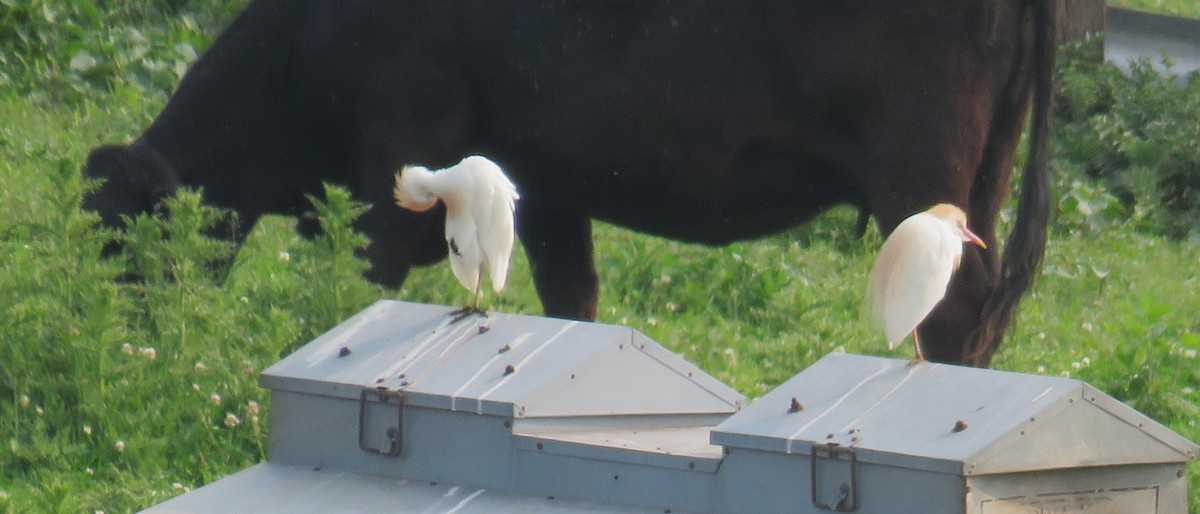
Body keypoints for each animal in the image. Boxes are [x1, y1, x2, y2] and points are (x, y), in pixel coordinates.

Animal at [82, 0, 1057, 367]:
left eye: (121, 235)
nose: (128, 338)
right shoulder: (545, 192)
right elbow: (571, 298)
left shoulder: (395, 164)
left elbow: (366, 279)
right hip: (979, 178)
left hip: (918, 179)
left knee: (955, 306)